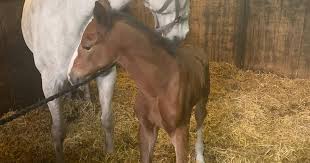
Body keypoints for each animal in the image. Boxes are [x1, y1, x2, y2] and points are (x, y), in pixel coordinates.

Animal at [21, 0, 189, 161]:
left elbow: (107, 118)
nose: (183, 35)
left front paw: (110, 153)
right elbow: (59, 131)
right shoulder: (50, 85)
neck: (69, 20)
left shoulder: (105, 73)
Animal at [68, 0, 209, 162]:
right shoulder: (146, 128)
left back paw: (200, 156)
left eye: (87, 46)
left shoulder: (180, 132)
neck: (159, 86)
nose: (70, 76)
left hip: (202, 101)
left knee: (200, 122)